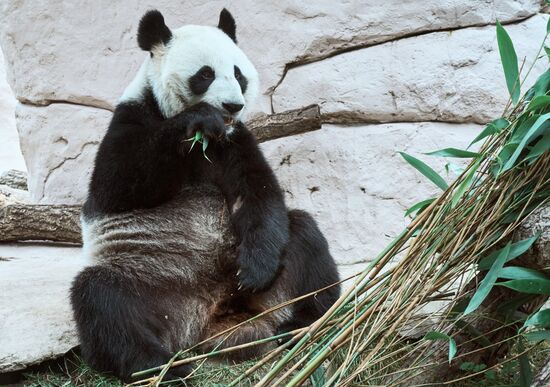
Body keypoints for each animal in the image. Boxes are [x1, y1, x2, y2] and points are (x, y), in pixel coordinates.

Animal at [71, 7, 342, 384]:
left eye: (239, 73)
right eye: (205, 74)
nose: (233, 104)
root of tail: (211, 315)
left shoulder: (234, 138)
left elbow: (258, 193)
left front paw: (255, 271)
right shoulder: (130, 118)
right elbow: (118, 184)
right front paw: (197, 119)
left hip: (256, 277)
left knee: (303, 235)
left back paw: (305, 322)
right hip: (153, 282)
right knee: (103, 302)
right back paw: (162, 367)